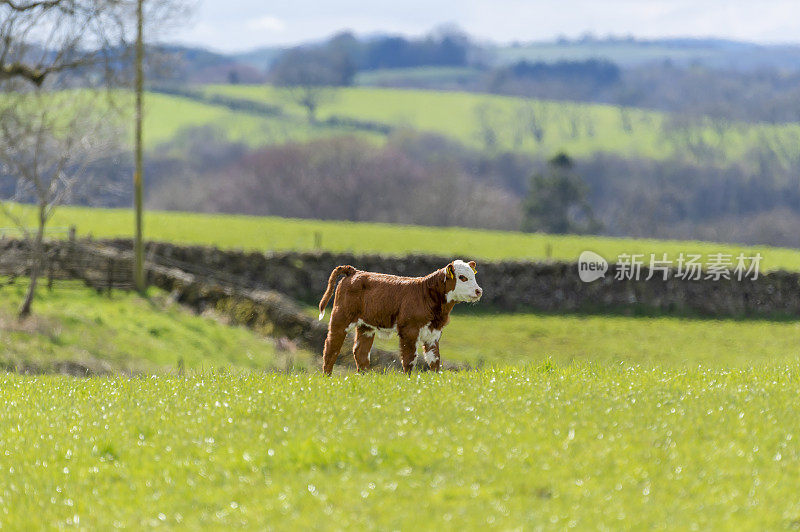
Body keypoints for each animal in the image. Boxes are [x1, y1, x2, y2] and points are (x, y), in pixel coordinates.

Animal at [318, 260, 482, 372]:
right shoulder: (409, 331)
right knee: (331, 349)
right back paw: (327, 376)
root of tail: (354, 271)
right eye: (462, 277)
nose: (479, 290)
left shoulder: (433, 333)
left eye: (473, 276)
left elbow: (434, 361)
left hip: (366, 326)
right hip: (340, 318)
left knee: (361, 353)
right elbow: (409, 360)